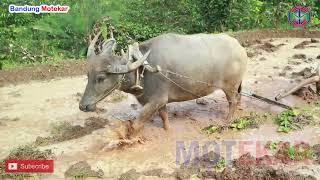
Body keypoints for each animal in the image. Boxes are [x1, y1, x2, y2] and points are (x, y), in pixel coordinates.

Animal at [79, 31, 248, 138]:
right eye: (88, 75)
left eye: (101, 77)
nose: (83, 106)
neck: (142, 70)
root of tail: (239, 47)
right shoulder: (160, 100)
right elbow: (163, 115)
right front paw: (167, 129)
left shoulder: (157, 100)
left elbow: (136, 124)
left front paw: (131, 138)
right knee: (238, 98)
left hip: (230, 87)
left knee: (232, 102)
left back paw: (227, 121)